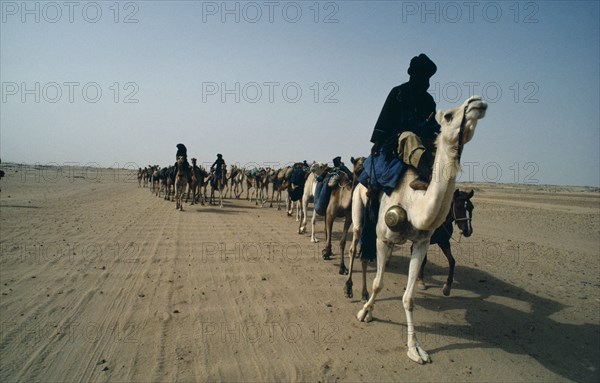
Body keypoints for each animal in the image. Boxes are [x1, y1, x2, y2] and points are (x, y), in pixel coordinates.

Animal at [356, 97, 488, 366]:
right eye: (448, 116)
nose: (477, 103)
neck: (413, 202)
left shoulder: (421, 243)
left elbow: (409, 297)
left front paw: (415, 349)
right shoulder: (383, 239)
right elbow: (378, 283)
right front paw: (365, 312)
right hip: (360, 213)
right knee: (359, 249)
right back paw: (357, 293)